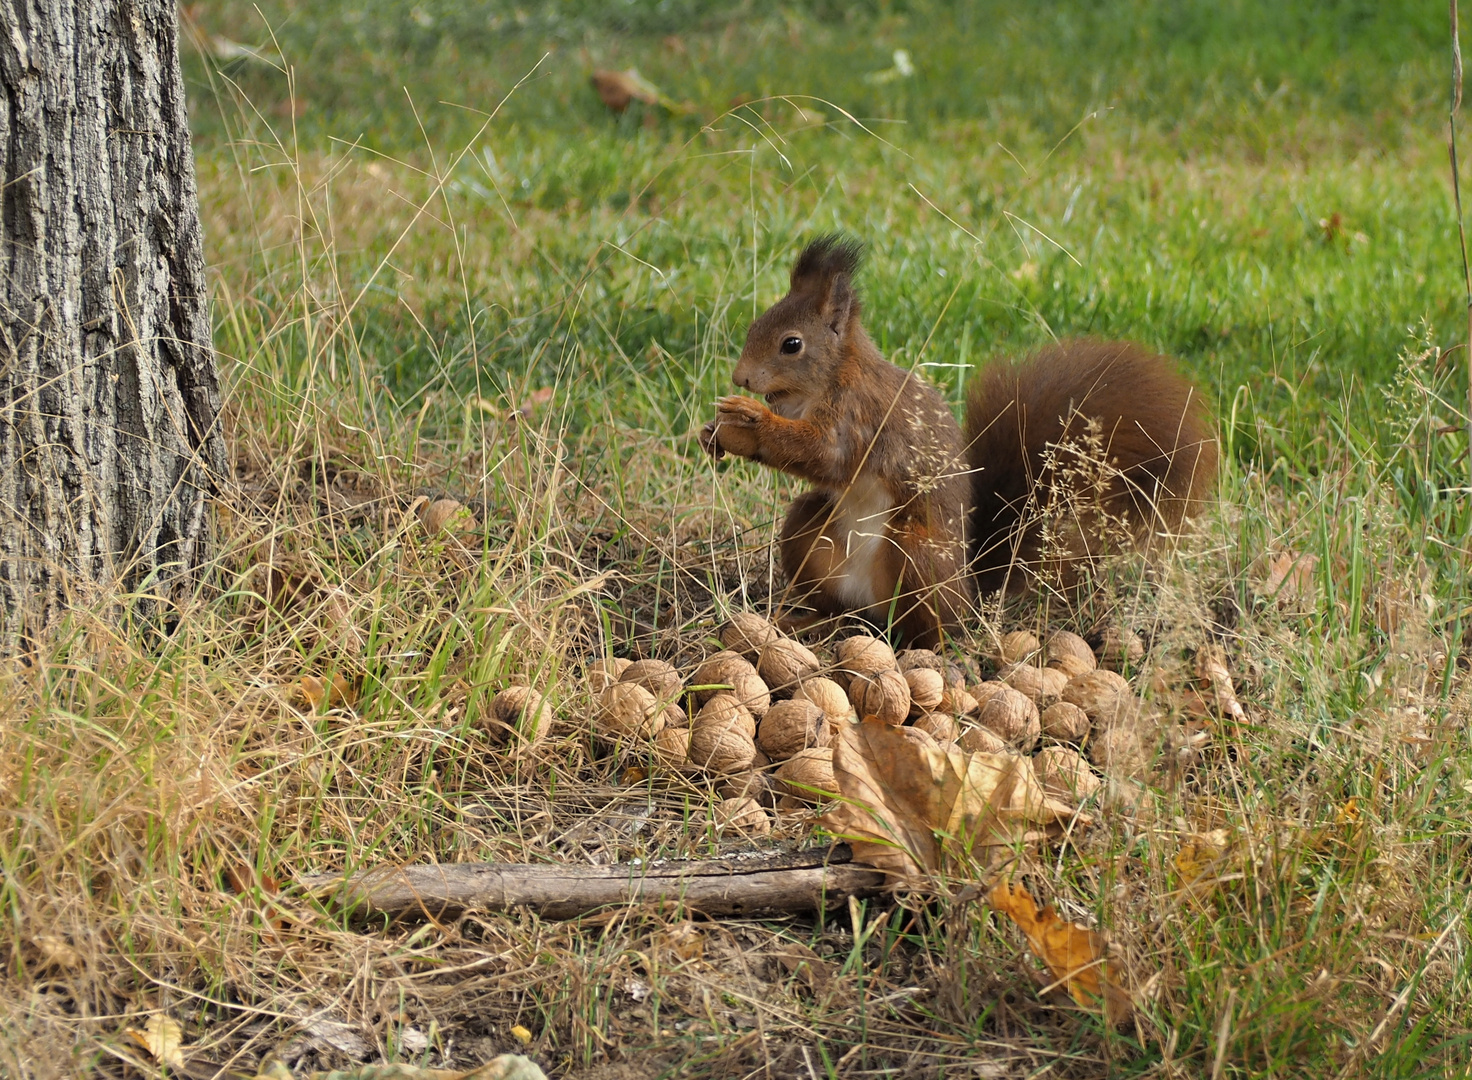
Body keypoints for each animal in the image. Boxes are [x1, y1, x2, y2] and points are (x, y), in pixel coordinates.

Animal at [700, 235, 1218, 650]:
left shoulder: (859, 416)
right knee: (838, 605)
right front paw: (713, 434)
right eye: (756, 323)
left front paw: (749, 420)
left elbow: (824, 454)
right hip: (810, 531)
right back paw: (806, 620)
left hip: (915, 553)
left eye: (791, 344)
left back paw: (924, 648)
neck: (824, 383)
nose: (740, 377)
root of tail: (970, 591)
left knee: (928, 626)